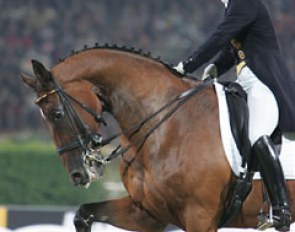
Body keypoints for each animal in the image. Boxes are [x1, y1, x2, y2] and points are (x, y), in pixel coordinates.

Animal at [21, 44, 295, 232]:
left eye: (56, 114)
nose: (78, 174)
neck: (166, 123)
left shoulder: (200, 217)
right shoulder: (146, 214)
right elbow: (83, 214)